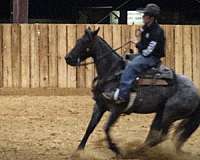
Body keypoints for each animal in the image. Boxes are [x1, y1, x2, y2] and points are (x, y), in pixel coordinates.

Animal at [65, 27, 200, 155]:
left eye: (85, 42)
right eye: (77, 40)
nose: (68, 58)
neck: (112, 71)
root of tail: (196, 92)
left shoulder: (117, 109)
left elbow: (106, 129)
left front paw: (116, 150)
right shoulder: (99, 105)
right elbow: (90, 128)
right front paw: (78, 151)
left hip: (170, 113)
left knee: (161, 135)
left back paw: (137, 151)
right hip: (160, 113)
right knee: (155, 134)